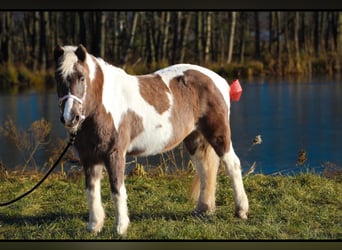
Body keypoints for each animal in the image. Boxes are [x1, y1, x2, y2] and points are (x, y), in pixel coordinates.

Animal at [54, 44, 250, 234]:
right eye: (58, 78)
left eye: (81, 77)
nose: (70, 117)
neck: (103, 106)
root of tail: (218, 80)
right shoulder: (88, 158)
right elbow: (91, 191)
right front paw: (94, 226)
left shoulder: (114, 154)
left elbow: (117, 189)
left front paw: (120, 227)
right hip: (194, 139)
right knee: (205, 171)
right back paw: (203, 209)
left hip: (218, 134)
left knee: (233, 165)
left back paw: (241, 210)